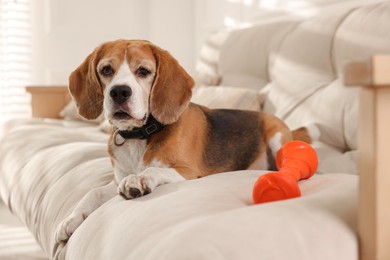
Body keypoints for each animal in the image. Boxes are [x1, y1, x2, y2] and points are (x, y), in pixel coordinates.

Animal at [54, 39, 314, 249]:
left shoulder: (188, 171)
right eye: (106, 70)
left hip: (276, 137)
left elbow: (152, 170)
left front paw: (139, 180)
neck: (141, 135)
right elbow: (93, 192)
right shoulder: (117, 178)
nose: (119, 92)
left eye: (144, 71)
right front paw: (71, 219)